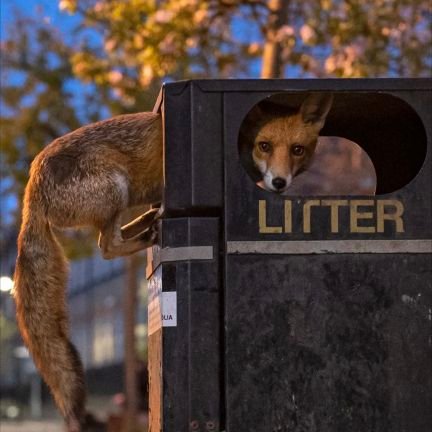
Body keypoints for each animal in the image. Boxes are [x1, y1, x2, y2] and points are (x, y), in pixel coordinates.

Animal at [13, 112, 165, 432]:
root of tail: (32, 189)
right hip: (116, 188)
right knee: (107, 246)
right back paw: (148, 232)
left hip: (120, 197)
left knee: (117, 235)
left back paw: (149, 219)